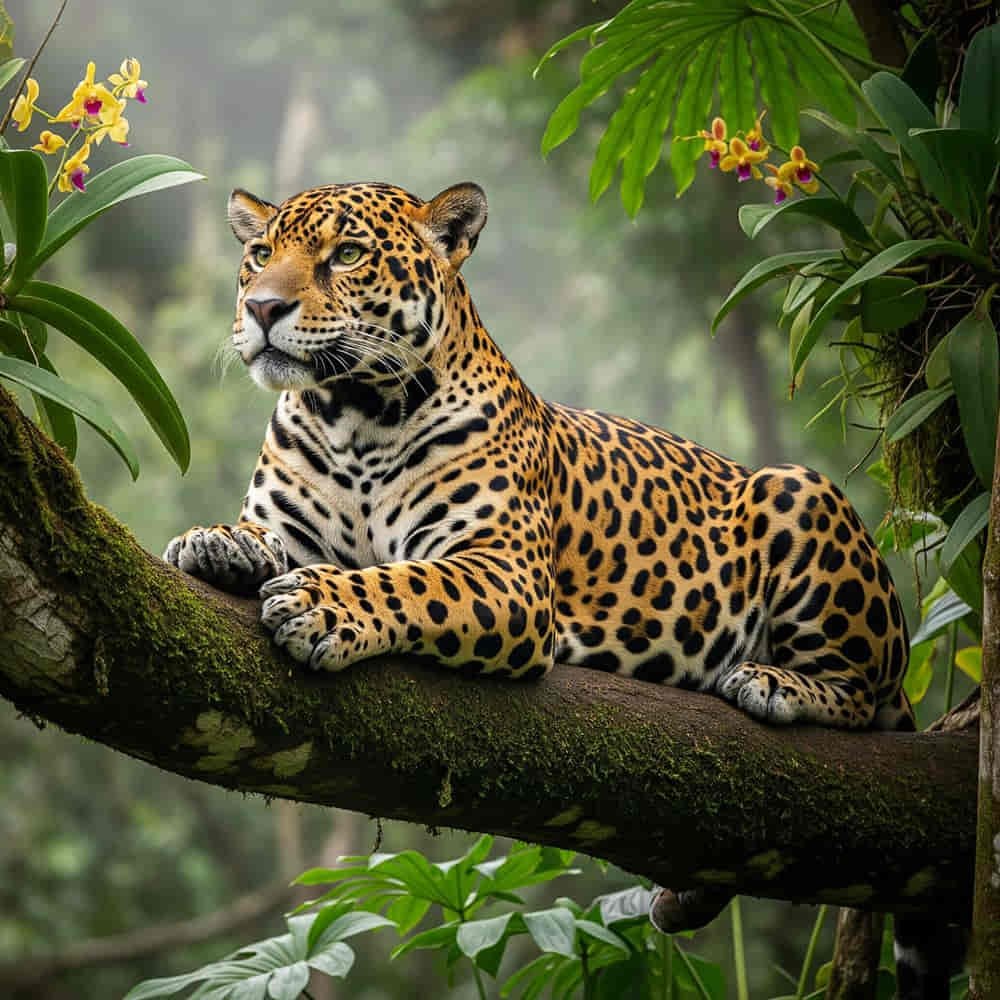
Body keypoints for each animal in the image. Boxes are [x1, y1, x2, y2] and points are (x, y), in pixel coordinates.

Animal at [163, 180, 945, 997]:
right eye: (260, 255)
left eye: (345, 254)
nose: (261, 308)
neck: (352, 416)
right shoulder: (296, 527)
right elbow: (266, 537)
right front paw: (214, 541)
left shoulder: (501, 571)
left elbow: (404, 579)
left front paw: (320, 604)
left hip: (801, 495)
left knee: (859, 695)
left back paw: (770, 682)